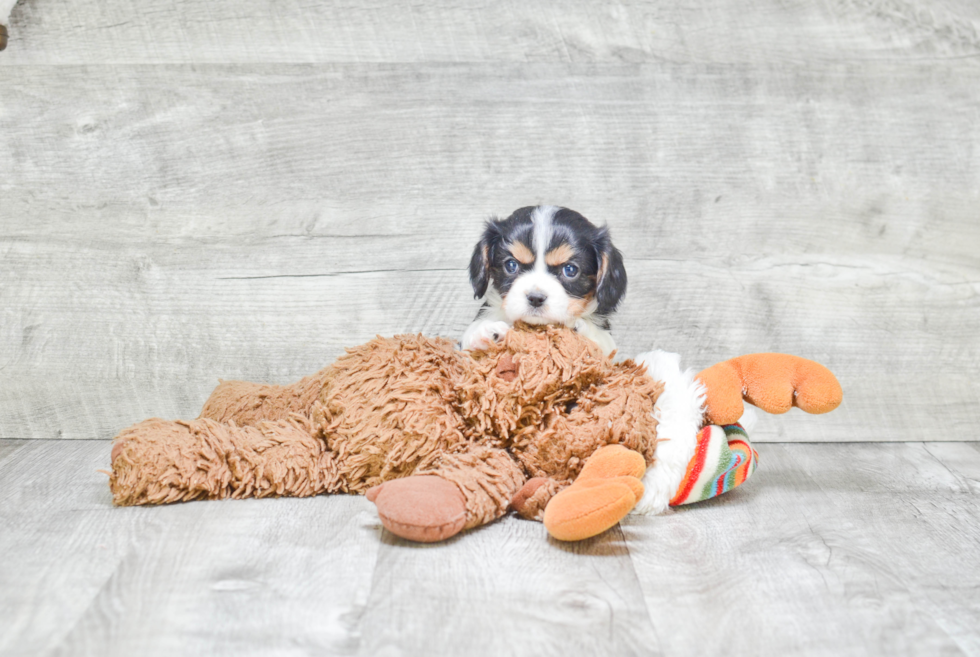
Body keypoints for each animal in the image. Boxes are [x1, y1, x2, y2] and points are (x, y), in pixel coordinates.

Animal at [462, 208, 628, 356]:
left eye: (570, 270)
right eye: (511, 265)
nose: (535, 298)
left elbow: (603, 344)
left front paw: (580, 327)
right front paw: (486, 331)